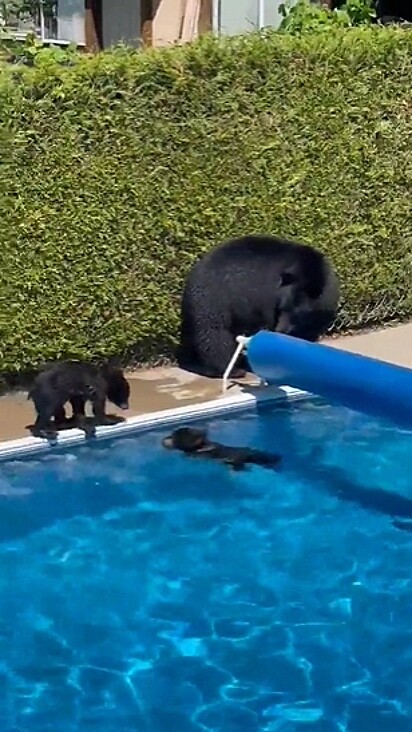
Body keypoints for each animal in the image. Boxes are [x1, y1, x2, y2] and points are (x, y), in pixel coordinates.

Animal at [179, 234, 340, 380]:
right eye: (283, 308)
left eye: (296, 314)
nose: (279, 330)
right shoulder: (266, 297)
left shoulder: (321, 313)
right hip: (214, 302)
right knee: (214, 335)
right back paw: (231, 369)